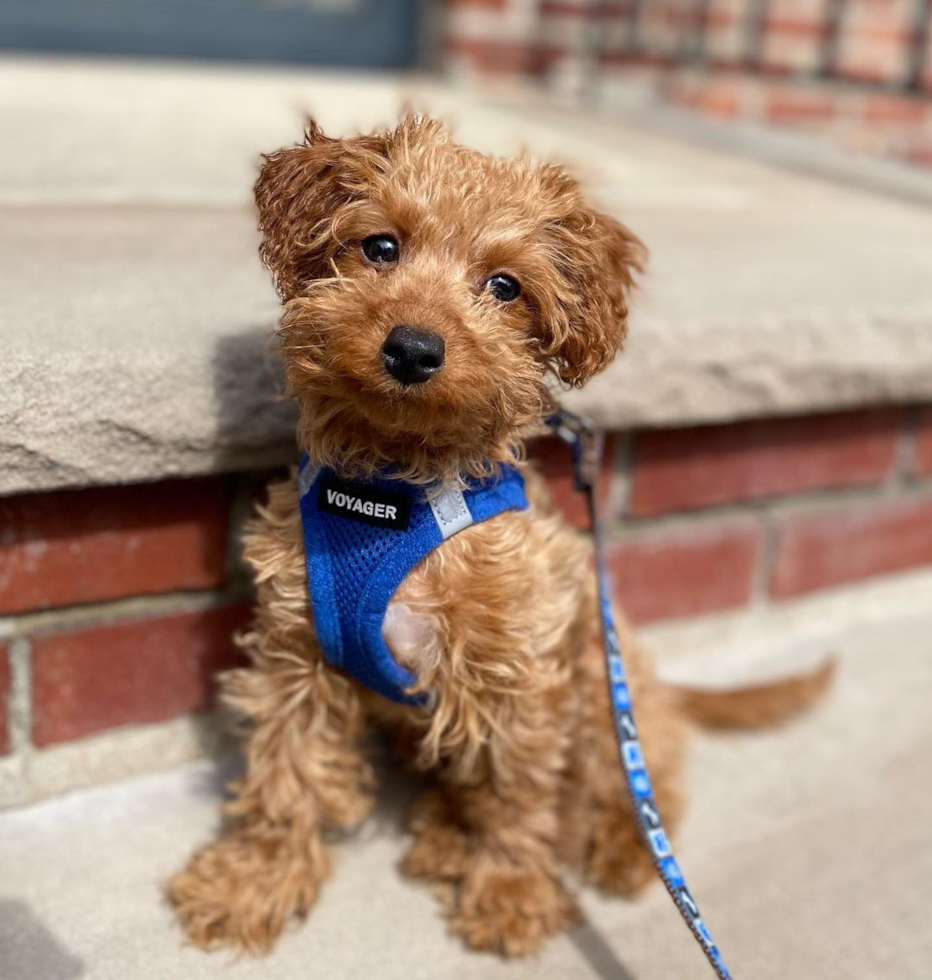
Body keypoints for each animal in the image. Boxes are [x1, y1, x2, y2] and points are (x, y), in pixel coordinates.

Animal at [171, 115, 832, 956]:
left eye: (505, 287)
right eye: (380, 246)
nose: (413, 348)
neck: (397, 491)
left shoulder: (517, 673)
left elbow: (517, 797)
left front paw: (511, 892)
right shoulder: (300, 656)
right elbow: (285, 773)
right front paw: (253, 881)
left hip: (601, 683)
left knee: (637, 780)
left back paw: (619, 846)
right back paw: (446, 832)